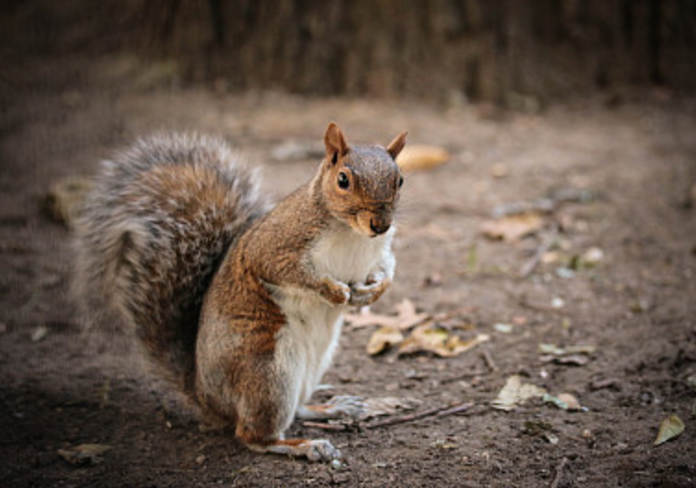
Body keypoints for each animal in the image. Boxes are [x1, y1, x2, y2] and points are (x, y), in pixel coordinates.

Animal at [72, 123, 406, 462]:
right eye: (343, 180)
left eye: (400, 180)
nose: (380, 224)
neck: (352, 233)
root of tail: (205, 395)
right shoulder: (276, 245)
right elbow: (286, 271)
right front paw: (335, 292)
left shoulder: (380, 251)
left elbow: (387, 270)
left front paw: (372, 292)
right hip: (268, 371)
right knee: (252, 434)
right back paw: (304, 445)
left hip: (312, 366)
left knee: (297, 408)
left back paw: (331, 408)